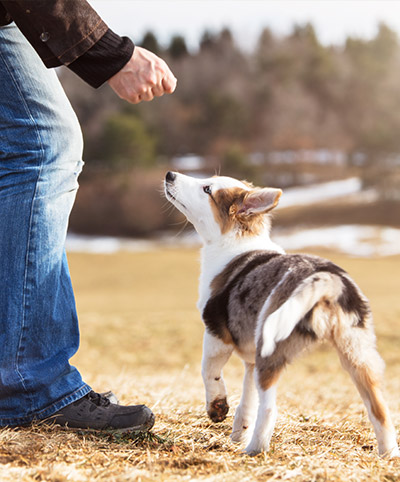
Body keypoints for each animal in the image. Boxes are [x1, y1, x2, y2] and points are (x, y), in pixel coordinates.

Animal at [163, 171, 400, 458]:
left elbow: (209, 371)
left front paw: (217, 408)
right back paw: (389, 454)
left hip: (272, 350)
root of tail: (326, 280)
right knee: (379, 408)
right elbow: (247, 399)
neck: (234, 244)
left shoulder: (216, 335)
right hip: (358, 353)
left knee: (269, 408)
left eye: (207, 188)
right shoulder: (251, 359)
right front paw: (238, 432)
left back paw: (254, 450)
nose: (170, 175)